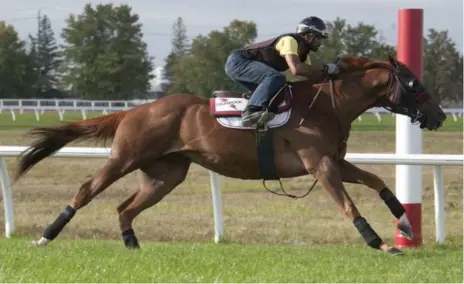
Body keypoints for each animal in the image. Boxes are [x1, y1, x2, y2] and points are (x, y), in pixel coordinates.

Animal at [15, 53, 446, 255]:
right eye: (414, 83)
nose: (440, 115)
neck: (327, 105)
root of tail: (137, 109)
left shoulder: (334, 161)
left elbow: (376, 179)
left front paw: (405, 225)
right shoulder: (320, 165)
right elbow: (348, 205)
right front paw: (380, 242)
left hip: (166, 174)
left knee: (125, 207)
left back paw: (132, 246)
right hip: (124, 158)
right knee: (87, 190)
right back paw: (44, 237)